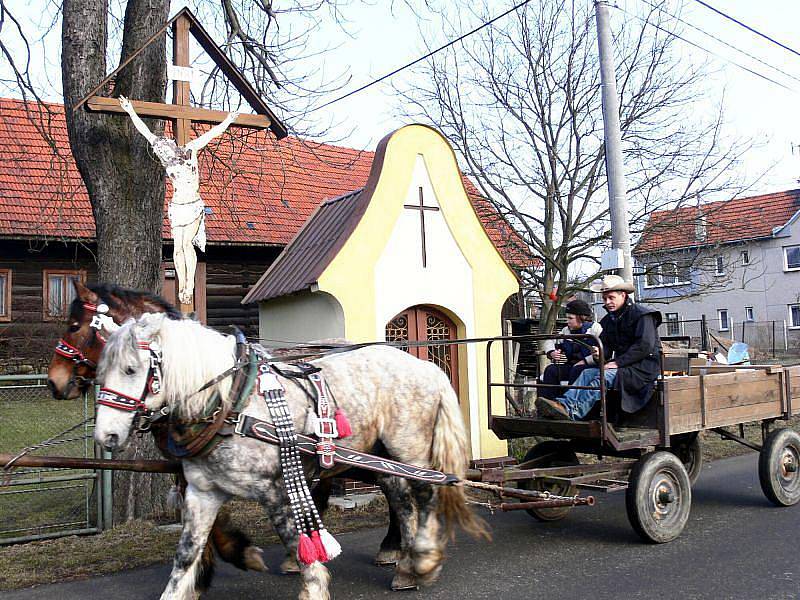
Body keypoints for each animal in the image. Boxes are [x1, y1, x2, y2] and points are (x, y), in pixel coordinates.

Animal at [92, 314, 482, 600]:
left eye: (131, 369)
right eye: (100, 372)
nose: (105, 436)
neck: (232, 405)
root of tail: (425, 366)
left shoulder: (276, 489)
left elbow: (298, 541)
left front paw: (313, 586)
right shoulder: (203, 492)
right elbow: (186, 555)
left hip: (408, 447)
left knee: (424, 495)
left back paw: (423, 560)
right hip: (380, 454)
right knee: (400, 500)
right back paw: (404, 567)